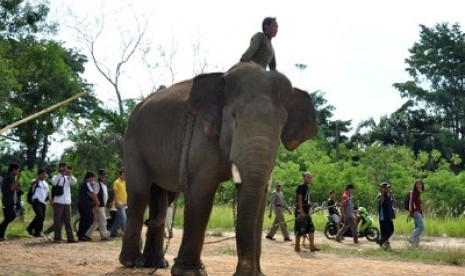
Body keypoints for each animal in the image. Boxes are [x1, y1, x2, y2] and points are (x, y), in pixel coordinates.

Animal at [118, 63, 318, 274]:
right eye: (234, 116)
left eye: (281, 124)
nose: (241, 273)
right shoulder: (202, 136)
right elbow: (202, 192)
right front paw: (189, 273)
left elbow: (261, 198)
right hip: (132, 143)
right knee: (139, 194)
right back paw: (132, 262)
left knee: (164, 196)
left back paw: (156, 264)